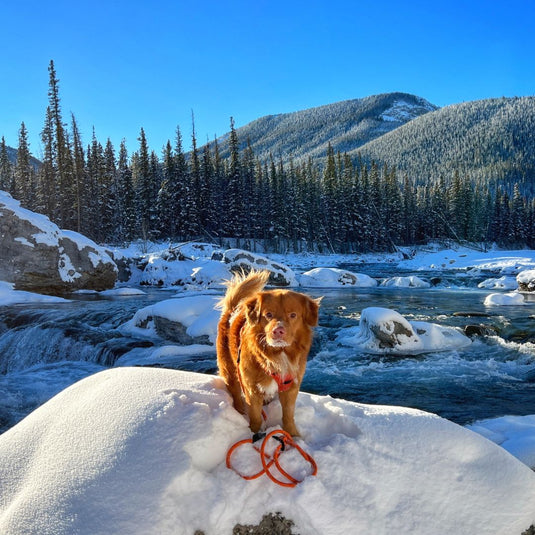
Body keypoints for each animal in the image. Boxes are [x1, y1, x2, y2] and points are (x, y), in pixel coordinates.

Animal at [217, 270, 320, 438]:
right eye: (269, 314)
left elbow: (288, 415)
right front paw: (254, 433)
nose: (278, 330)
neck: (277, 354)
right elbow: (256, 416)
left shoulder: (291, 387)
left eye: (293, 315)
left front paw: (293, 436)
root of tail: (232, 310)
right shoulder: (251, 388)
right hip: (230, 371)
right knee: (236, 395)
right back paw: (240, 412)